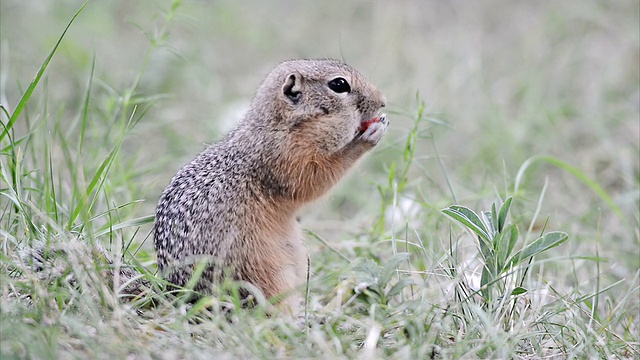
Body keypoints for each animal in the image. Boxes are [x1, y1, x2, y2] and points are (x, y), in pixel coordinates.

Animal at [152, 58, 388, 306]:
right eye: (339, 84)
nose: (383, 101)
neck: (278, 126)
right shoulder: (285, 158)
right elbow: (315, 179)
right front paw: (368, 136)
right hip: (267, 275)